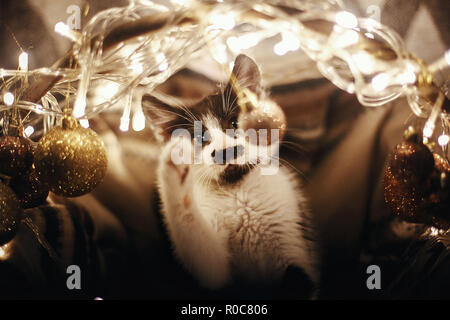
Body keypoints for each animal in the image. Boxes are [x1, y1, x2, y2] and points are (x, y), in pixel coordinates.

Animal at [142, 54, 318, 296]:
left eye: (235, 123)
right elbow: (206, 260)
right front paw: (175, 170)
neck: (237, 190)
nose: (225, 151)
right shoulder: (217, 274)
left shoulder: (293, 234)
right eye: (200, 138)